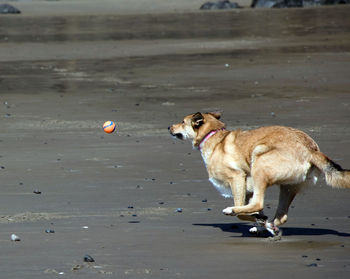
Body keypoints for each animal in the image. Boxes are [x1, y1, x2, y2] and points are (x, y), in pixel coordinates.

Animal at [168, 111, 348, 236]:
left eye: (182, 122)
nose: (169, 127)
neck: (213, 135)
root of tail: (310, 150)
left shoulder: (237, 178)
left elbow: (244, 211)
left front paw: (253, 217)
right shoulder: (247, 189)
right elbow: (251, 212)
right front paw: (261, 222)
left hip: (259, 161)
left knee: (259, 203)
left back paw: (235, 212)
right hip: (288, 187)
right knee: (281, 215)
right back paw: (269, 226)